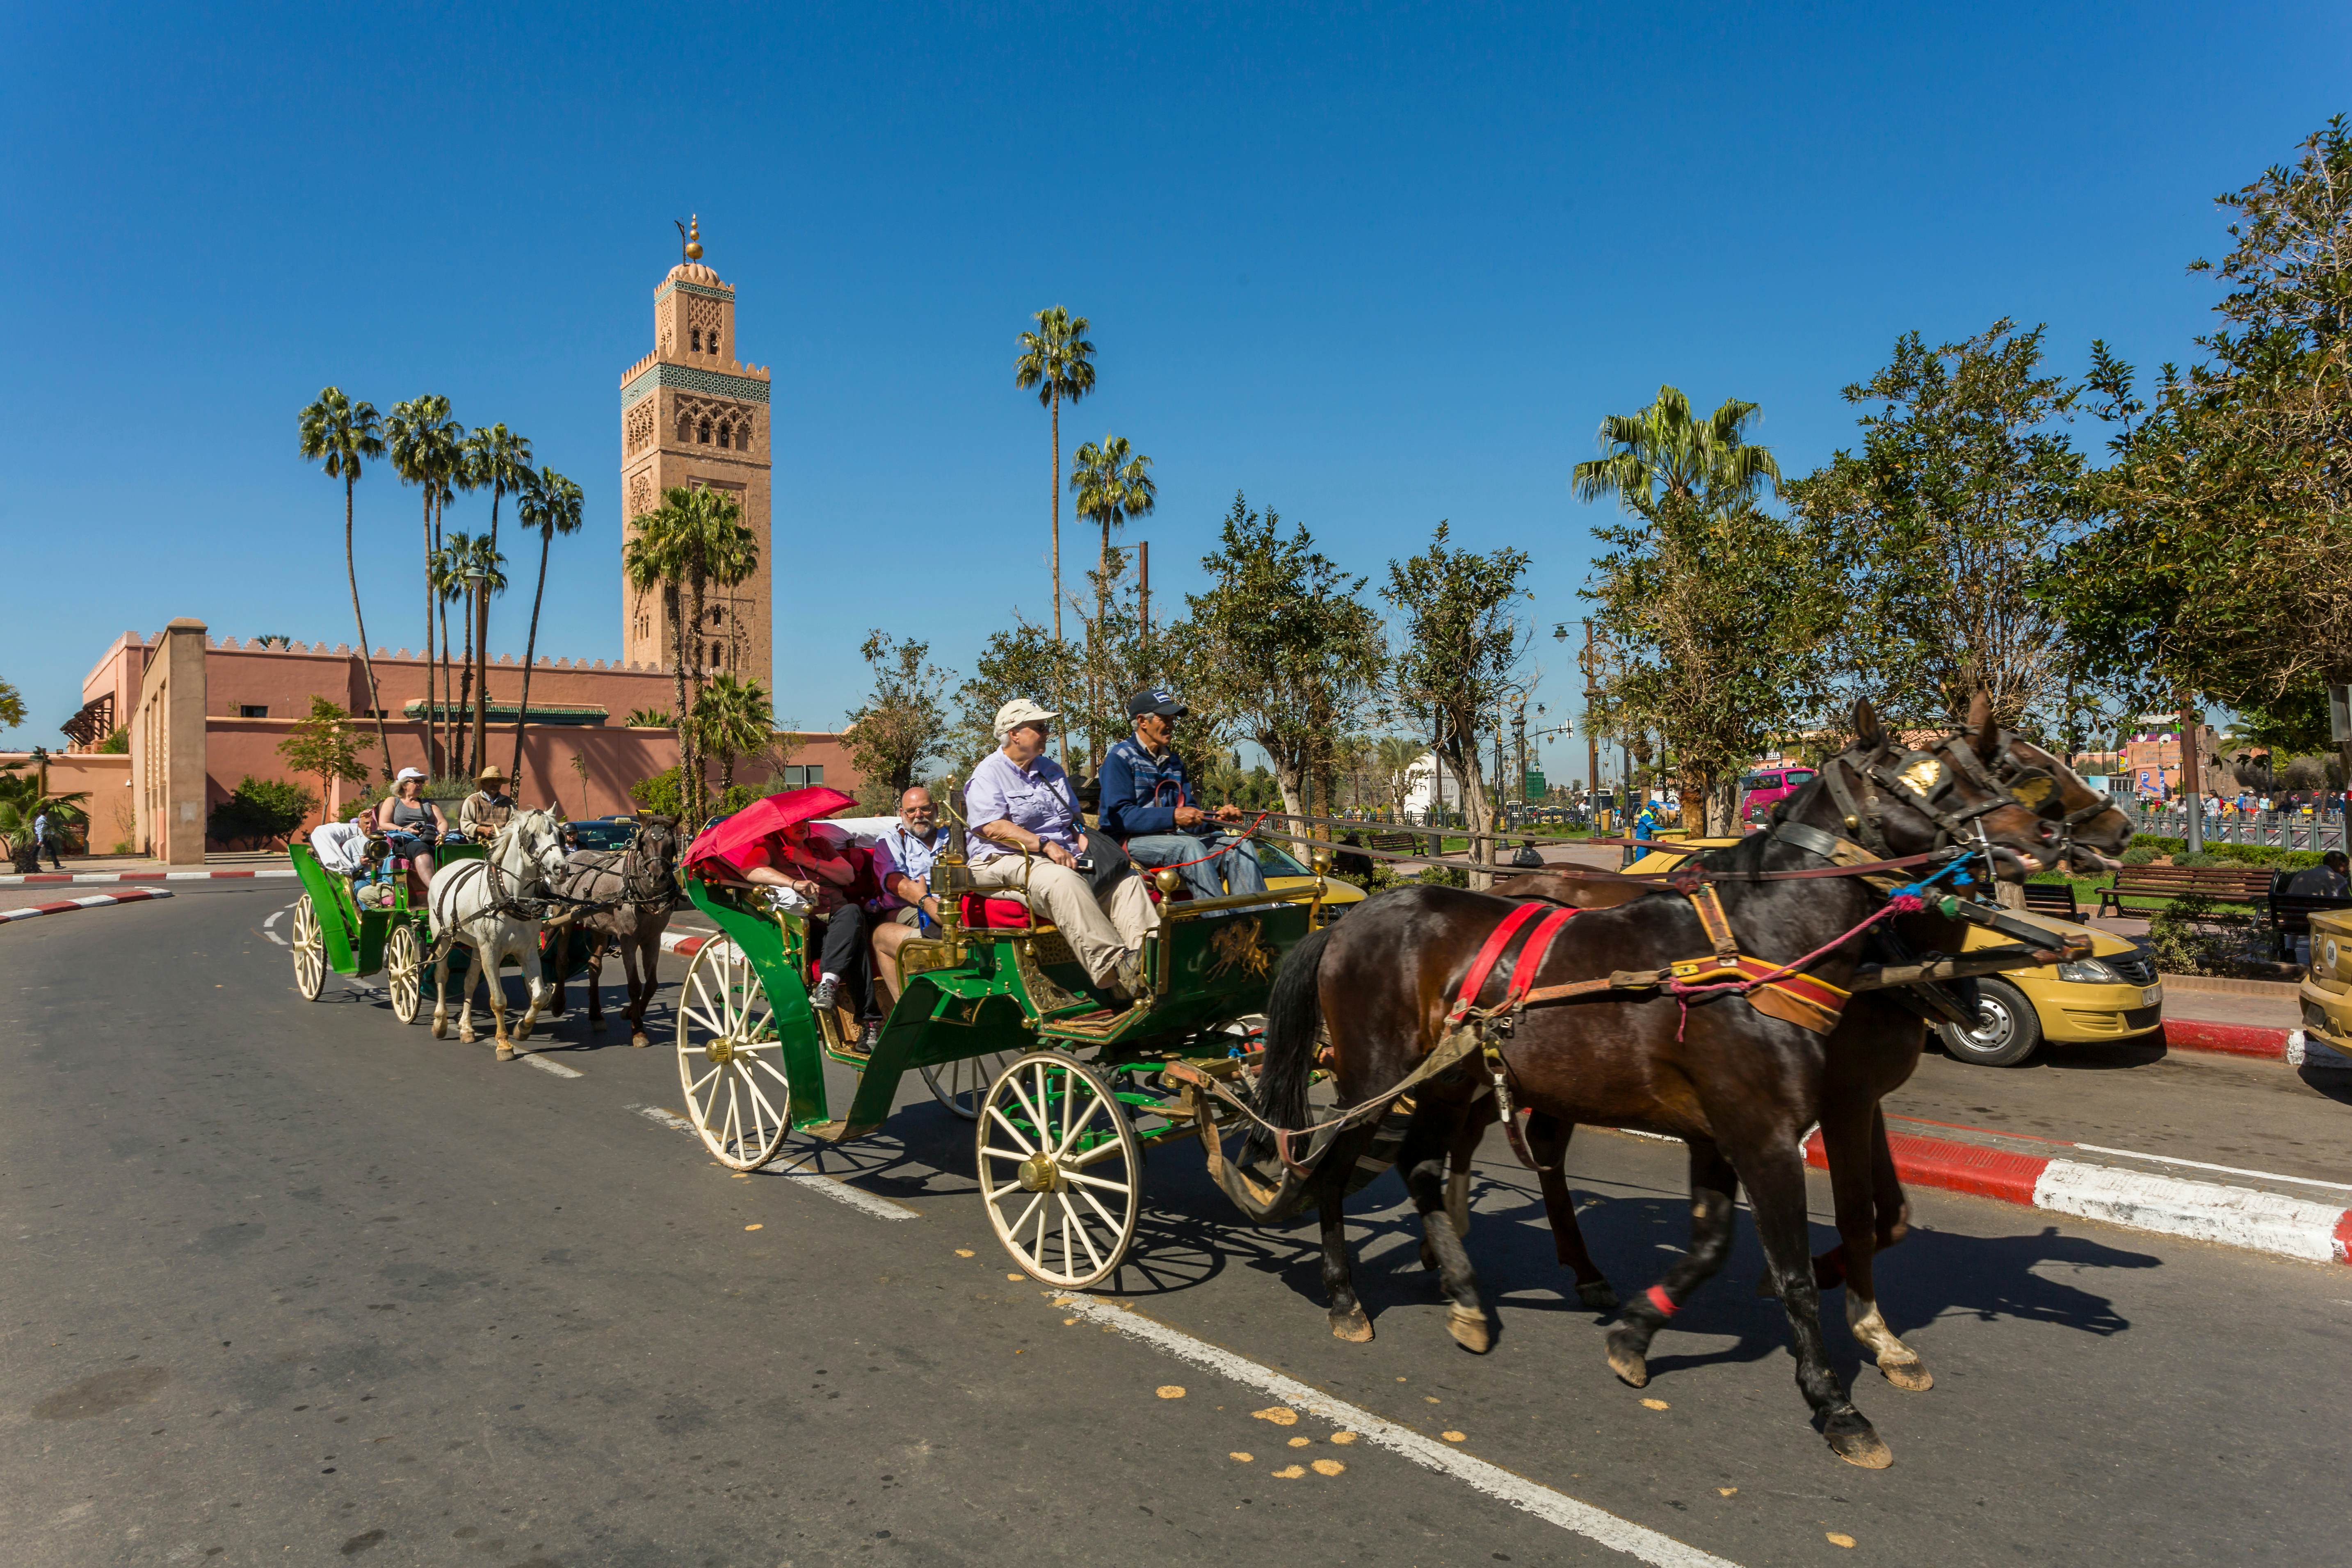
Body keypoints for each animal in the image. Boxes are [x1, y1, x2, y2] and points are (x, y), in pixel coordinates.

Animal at [425, 818, 571, 1062]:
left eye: (559, 835)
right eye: (531, 837)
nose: (561, 868)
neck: (511, 897)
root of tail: (444, 869)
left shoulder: (527, 951)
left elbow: (540, 996)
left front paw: (522, 1029)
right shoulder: (491, 950)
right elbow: (499, 1001)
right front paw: (504, 1044)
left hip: (476, 948)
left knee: (469, 981)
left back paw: (467, 1028)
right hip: (444, 937)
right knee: (441, 976)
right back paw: (440, 1022)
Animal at [1251, 701, 2135, 1476]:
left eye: (1987, 769)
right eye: (1937, 776)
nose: (2080, 832)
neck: (1763, 944)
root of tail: (1349, 918)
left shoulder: (1742, 1124)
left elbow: (1726, 1243)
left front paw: (1635, 1335)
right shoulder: (1769, 1129)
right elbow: (1796, 1261)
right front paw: (1835, 1402)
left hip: (1453, 1079)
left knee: (1429, 1166)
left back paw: (1467, 1289)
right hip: (1374, 1075)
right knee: (1334, 1169)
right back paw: (1347, 1296)